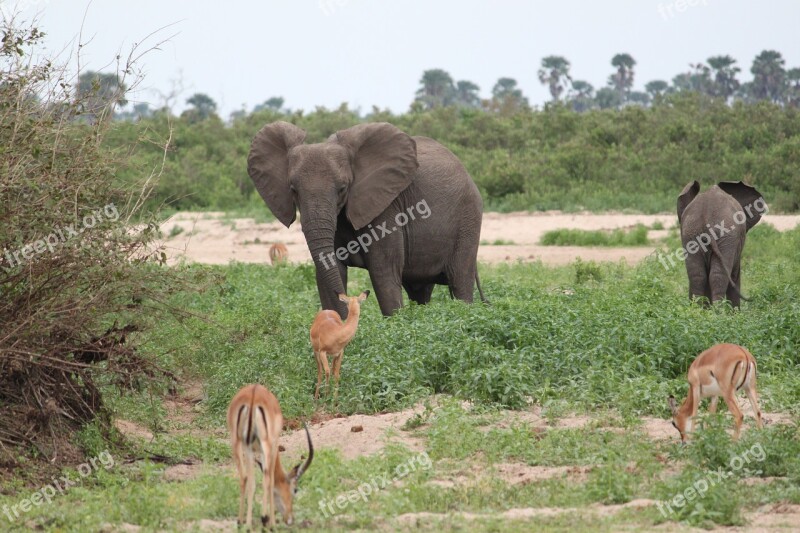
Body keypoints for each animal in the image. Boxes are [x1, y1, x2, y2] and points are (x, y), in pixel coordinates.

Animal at [247, 121, 484, 316]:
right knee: (419, 290)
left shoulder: (386, 206)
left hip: (468, 218)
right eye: (293, 190)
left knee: (460, 282)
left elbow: (383, 273)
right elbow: (329, 270)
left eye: (343, 188)